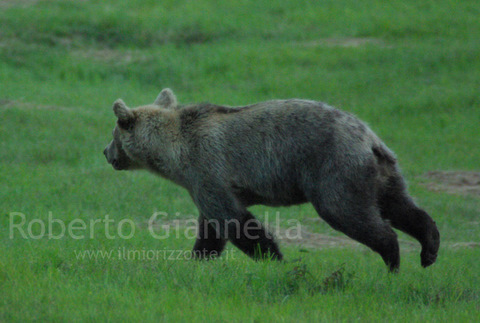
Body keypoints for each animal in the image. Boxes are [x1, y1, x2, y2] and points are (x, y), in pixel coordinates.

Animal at [104, 87, 438, 272]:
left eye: (114, 132)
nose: (106, 153)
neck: (174, 154)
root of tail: (370, 139)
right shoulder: (204, 184)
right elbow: (211, 227)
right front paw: (197, 259)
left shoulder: (208, 170)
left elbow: (237, 223)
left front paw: (273, 260)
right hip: (381, 171)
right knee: (400, 205)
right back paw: (428, 250)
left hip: (335, 167)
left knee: (348, 211)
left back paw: (392, 259)